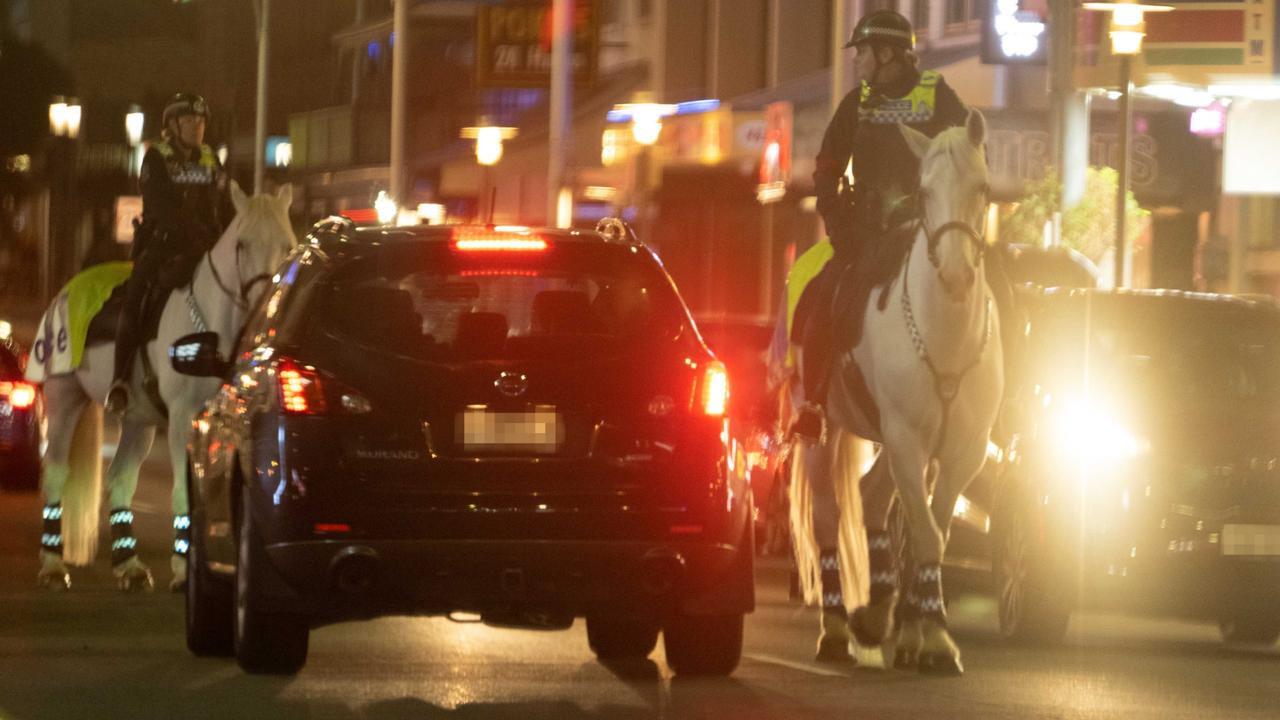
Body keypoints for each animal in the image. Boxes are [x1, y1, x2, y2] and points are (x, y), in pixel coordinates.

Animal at [35, 181, 296, 591]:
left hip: (138, 422)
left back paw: (129, 566)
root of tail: (66, 289)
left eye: (288, 245)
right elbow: (185, 495)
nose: (265, 304)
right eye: (241, 244)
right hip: (64, 398)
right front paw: (183, 569)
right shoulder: (183, 419)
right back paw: (52, 565)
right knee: (56, 473)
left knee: (120, 479)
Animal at [788, 107, 998, 671]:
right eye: (923, 192)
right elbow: (924, 531)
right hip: (822, 431)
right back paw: (837, 628)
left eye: (983, 189)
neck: (943, 334)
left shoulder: (962, 452)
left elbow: (935, 532)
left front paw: (926, 632)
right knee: (828, 518)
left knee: (872, 496)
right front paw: (931, 634)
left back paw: (880, 614)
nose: (955, 275)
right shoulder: (907, 440)